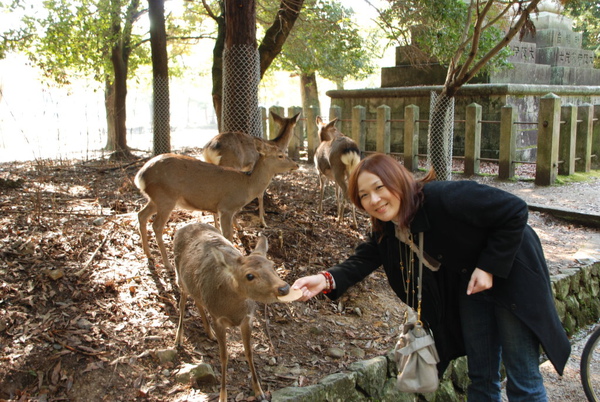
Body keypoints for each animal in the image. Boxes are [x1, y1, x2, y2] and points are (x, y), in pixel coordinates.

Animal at [134, 141, 298, 270]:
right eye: (280, 155)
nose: (296, 164)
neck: (247, 186)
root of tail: (140, 175)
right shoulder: (226, 207)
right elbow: (228, 235)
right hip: (166, 197)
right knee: (156, 225)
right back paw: (167, 264)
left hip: (155, 199)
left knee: (141, 215)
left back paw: (148, 254)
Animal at [173, 221, 290, 402]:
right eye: (249, 276)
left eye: (272, 265)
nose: (283, 288)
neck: (233, 310)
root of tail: (185, 226)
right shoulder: (218, 318)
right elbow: (224, 357)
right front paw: (223, 396)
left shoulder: (247, 318)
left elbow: (249, 353)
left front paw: (259, 391)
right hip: (179, 275)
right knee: (182, 301)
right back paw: (178, 339)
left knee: (198, 300)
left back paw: (210, 333)